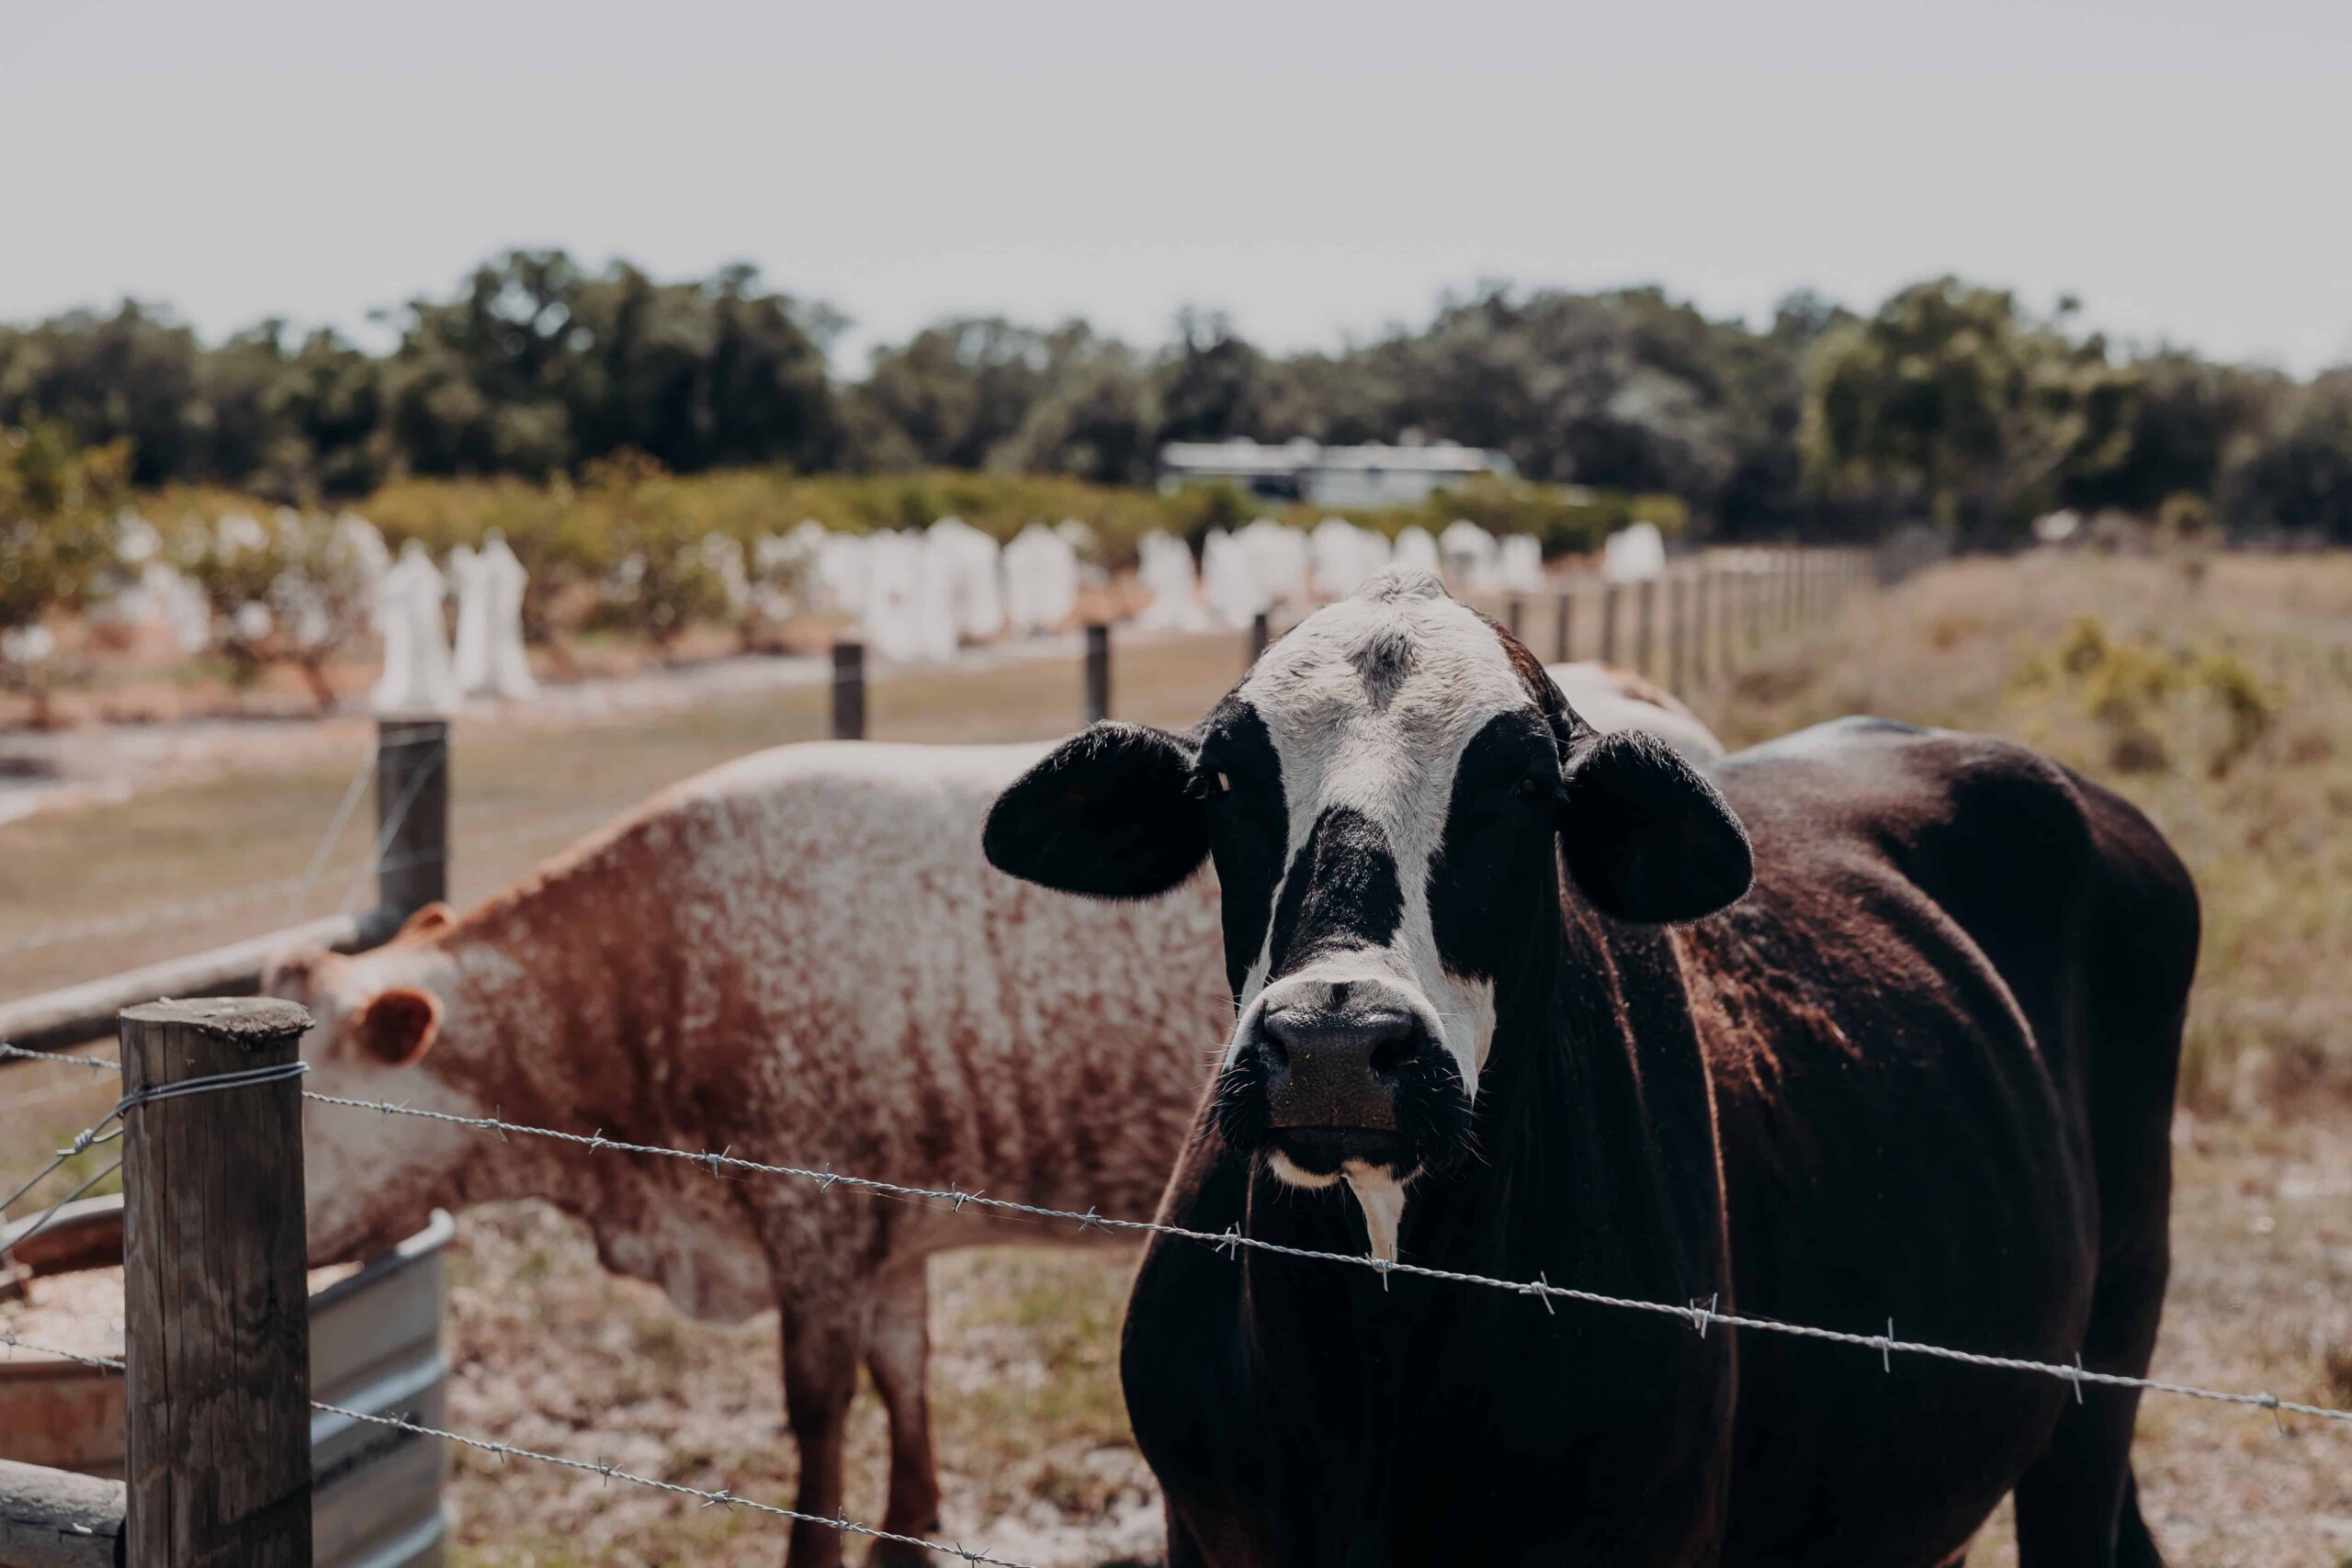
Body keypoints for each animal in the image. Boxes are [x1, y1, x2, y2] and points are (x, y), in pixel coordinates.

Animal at [267, 661, 1717, 1568]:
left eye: (316, 1103)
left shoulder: (809, 1218)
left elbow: (817, 1418)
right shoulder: (881, 1226)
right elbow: (902, 1384)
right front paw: (908, 1527)